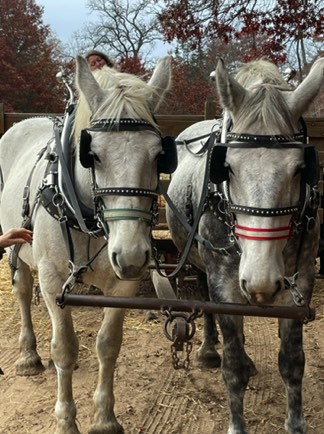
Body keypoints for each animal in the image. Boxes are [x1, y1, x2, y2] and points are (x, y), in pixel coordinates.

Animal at [0, 55, 172, 434]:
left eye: (159, 156)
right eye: (91, 154)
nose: (132, 255)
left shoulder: (123, 286)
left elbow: (108, 345)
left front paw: (105, 419)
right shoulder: (52, 282)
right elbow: (64, 347)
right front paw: (66, 419)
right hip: (16, 248)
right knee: (23, 291)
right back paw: (29, 355)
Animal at [167, 57, 324, 434]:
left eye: (300, 168)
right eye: (228, 168)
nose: (260, 280)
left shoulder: (301, 282)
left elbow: (293, 361)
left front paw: (295, 424)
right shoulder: (226, 285)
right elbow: (233, 366)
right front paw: (237, 424)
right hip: (202, 264)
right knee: (204, 298)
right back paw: (209, 349)